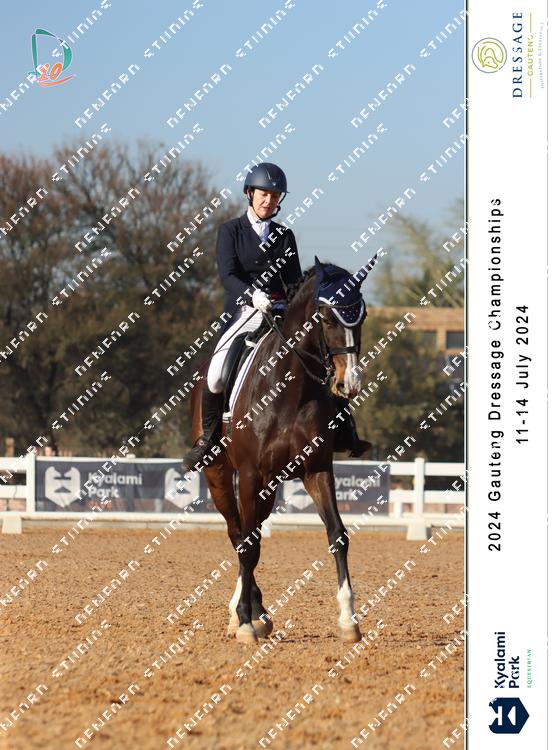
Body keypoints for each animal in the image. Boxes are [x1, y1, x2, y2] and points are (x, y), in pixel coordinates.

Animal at [188, 256, 374, 644]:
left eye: (362, 316)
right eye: (327, 317)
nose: (350, 384)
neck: (291, 388)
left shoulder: (317, 470)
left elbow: (338, 536)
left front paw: (349, 620)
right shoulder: (250, 474)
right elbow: (247, 544)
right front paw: (245, 623)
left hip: (269, 486)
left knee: (252, 533)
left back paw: (256, 610)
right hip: (221, 474)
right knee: (238, 534)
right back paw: (243, 613)